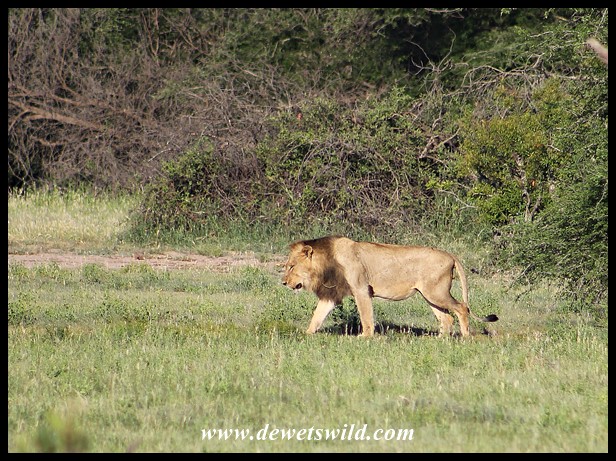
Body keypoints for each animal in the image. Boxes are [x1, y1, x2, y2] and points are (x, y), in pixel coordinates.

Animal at [282, 236, 498, 337]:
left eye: (291, 266)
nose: (283, 282)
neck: (326, 263)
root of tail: (450, 254)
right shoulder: (332, 294)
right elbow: (317, 316)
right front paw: (306, 335)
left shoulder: (361, 289)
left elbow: (366, 316)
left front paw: (365, 337)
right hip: (429, 295)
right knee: (446, 318)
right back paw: (439, 340)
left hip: (436, 293)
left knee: (462, 307)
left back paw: (465, 336)